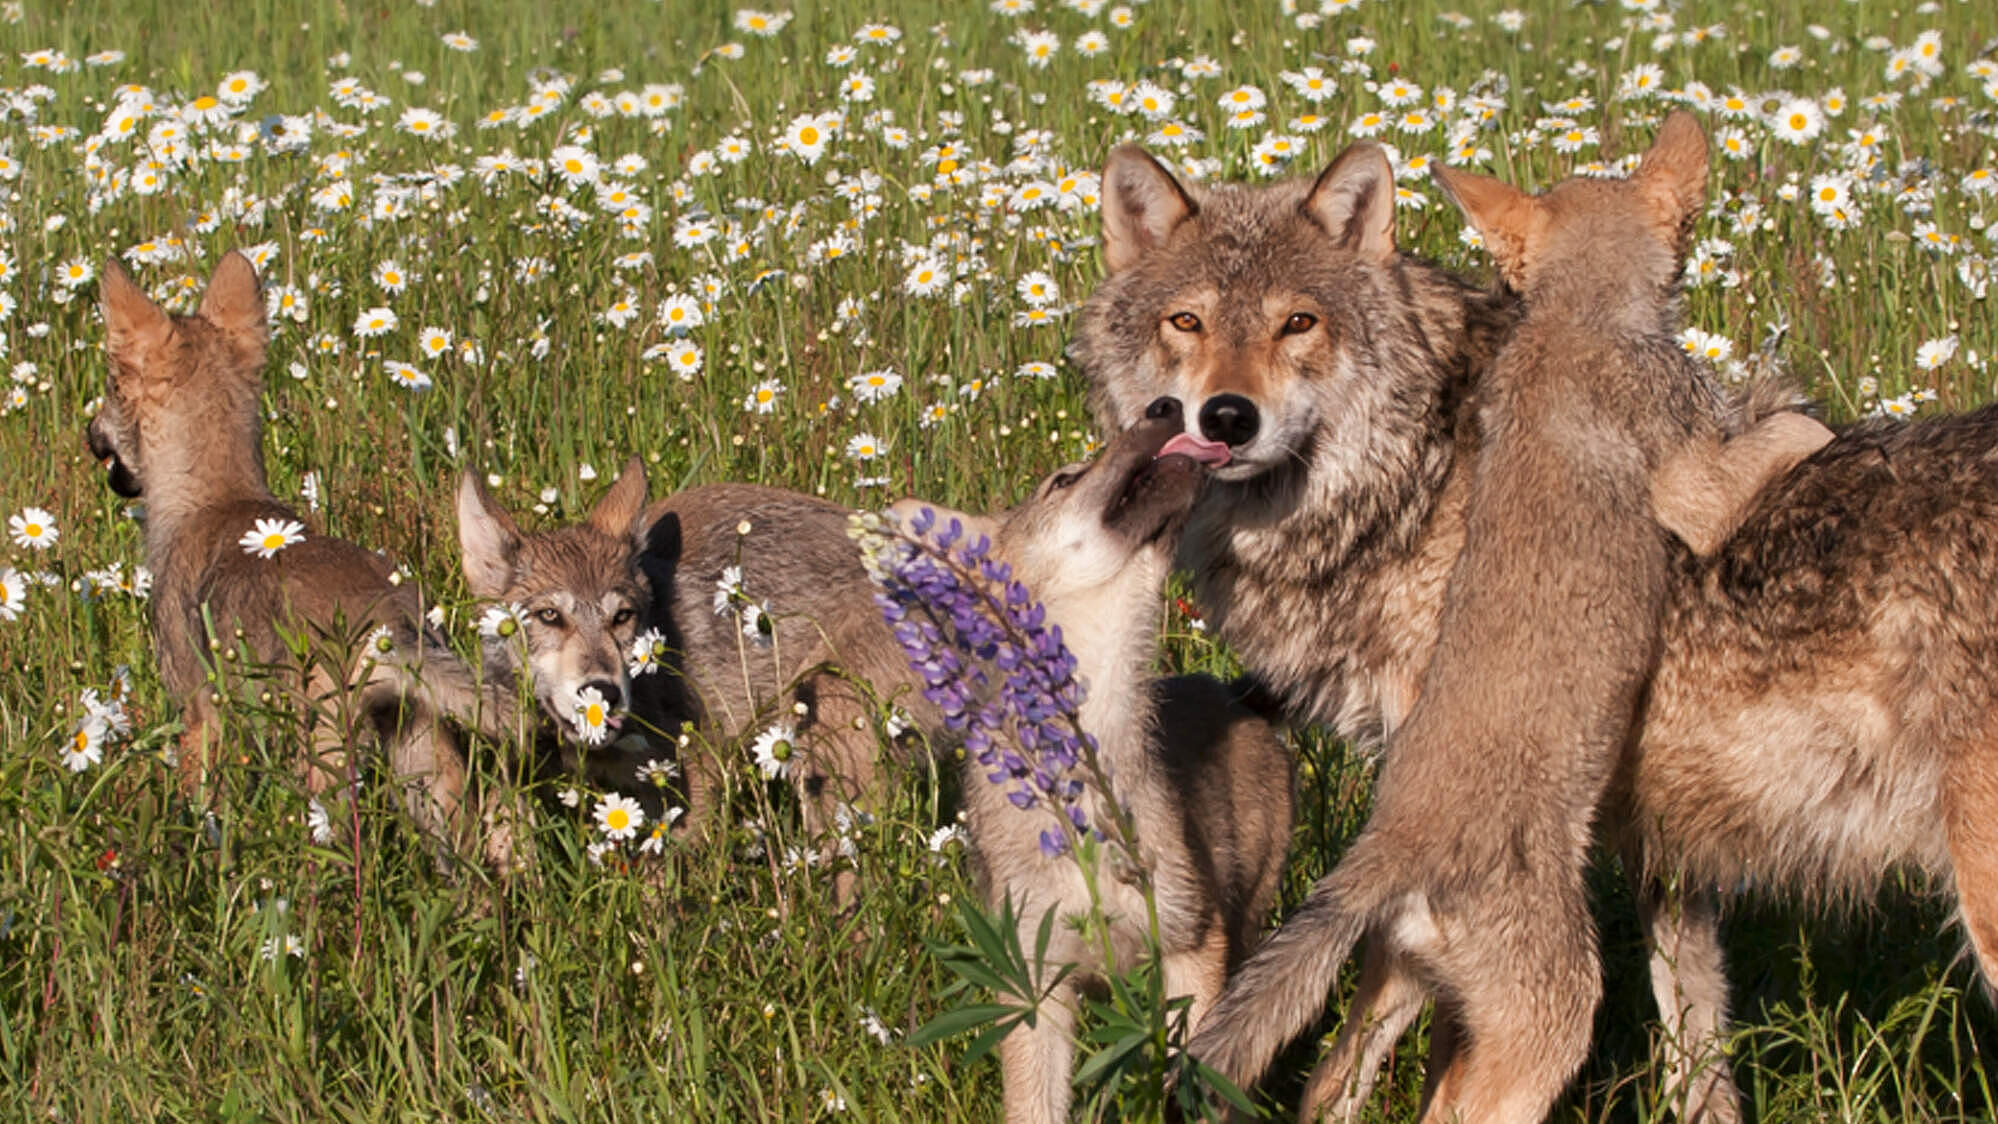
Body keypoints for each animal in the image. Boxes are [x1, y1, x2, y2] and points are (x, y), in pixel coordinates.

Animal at [90, 252, 518, 862]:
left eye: (110, 385)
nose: (89, 435)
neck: (214, 499)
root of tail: (388, 625)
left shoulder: (200, 717)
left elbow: (201, 810)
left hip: (326, 765)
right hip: (425, 763)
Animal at [882, 403, 1292, 1124]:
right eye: (1064, 479)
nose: (1164, 405)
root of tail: (1231, 694)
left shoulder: (1192, 942)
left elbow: (1184, 1075)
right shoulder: (1034, 991)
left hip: (1243, 927)